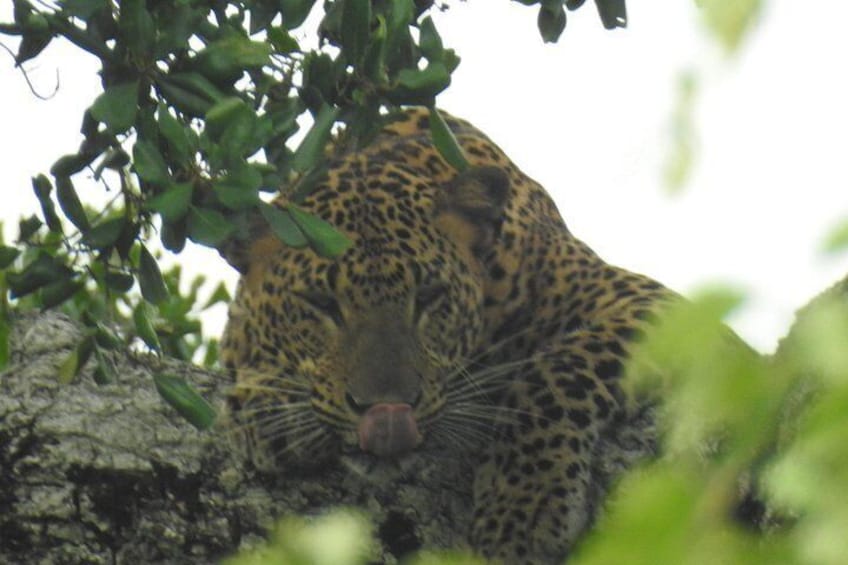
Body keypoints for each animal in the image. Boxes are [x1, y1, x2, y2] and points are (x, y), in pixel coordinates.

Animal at [219, 107, 676, 563]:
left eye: (429, 296)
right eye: (322, 303)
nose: (387, 410)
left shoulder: (644, 302)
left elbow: (557, 373)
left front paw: (523, 504)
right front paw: (270, 408)